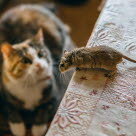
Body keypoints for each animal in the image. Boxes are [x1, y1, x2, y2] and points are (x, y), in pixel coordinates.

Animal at [0, 4, 75, 136]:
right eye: (25, 60)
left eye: (41, 54)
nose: (39, 65)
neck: (30, 84)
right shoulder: (4, 96)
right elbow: (11, 110)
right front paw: (18, 129)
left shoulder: (54, 96)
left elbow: (44, 111)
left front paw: (37, 129)